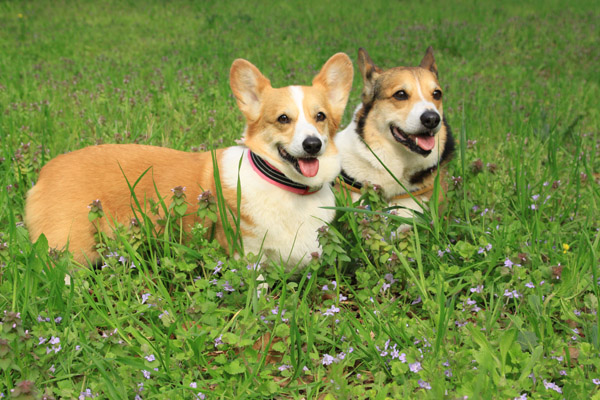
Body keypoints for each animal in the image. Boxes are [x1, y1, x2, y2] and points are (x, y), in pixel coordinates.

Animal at [25, 53, 354, 270]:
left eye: (320, 116)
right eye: (283, 119)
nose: (312, 145)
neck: (287, 187)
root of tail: (46, 171)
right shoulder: (248, 256)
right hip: (72, 251)